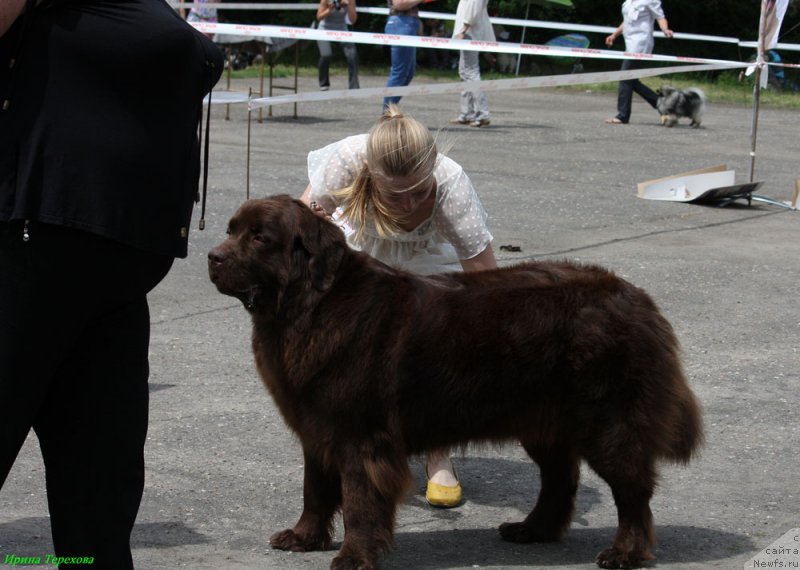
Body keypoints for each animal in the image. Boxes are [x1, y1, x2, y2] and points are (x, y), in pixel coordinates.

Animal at [206, 195, 700, 568]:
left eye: (260, 237)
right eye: (231, 229)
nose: (212, 257)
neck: (309, 305)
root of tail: (636, 298)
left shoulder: (360, 436)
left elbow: (359, 499)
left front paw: (353, 557)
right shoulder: (317, 427)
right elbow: (315, 489)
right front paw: (304, 537)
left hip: (609, 423)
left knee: (633, 492)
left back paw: (625, 553)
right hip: (543, 421)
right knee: (561, 477)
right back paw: (533, 530)